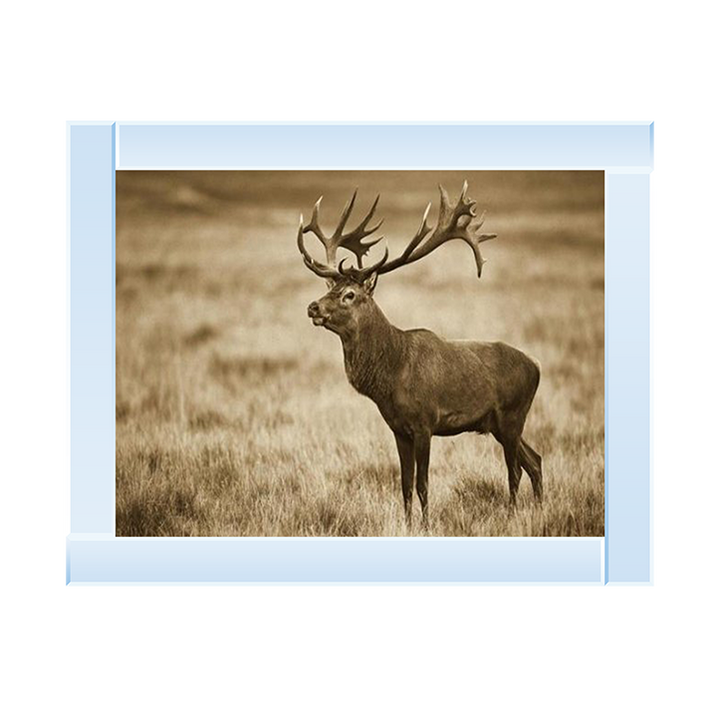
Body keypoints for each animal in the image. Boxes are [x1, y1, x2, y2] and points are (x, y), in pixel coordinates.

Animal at [297, 182, 543, 529]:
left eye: (350, 295)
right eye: (329, 287)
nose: (313, 307)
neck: (390, 376)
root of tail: (537, 367)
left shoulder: (425, 422)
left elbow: (423, 484)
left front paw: (425, 526)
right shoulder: (398, 429)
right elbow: (404, 484)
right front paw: (407, 523)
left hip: (512, 415)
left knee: (515, 470)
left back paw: (512, 515)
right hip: (499, 423)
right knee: (535, 460)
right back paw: (540, 509)